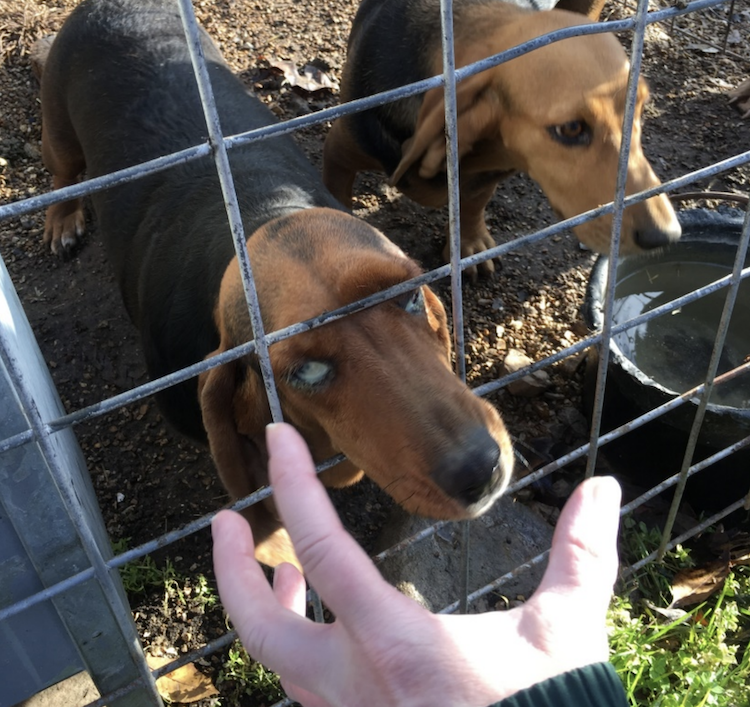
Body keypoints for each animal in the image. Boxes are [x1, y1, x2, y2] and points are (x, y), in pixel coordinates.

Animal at [36, 0, 516, 568]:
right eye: (305, 372)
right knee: (62, 173)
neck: (258, 211)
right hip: (59, 132)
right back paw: (62, 219)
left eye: (406, 298)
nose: (482, 468)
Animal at [324, 0, 680, 276]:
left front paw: (468, 243)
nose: (665, 236)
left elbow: (472, 204)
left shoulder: (485, 178)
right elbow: (335, 200)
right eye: (571, 129)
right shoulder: (339, 152)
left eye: (640, 108)